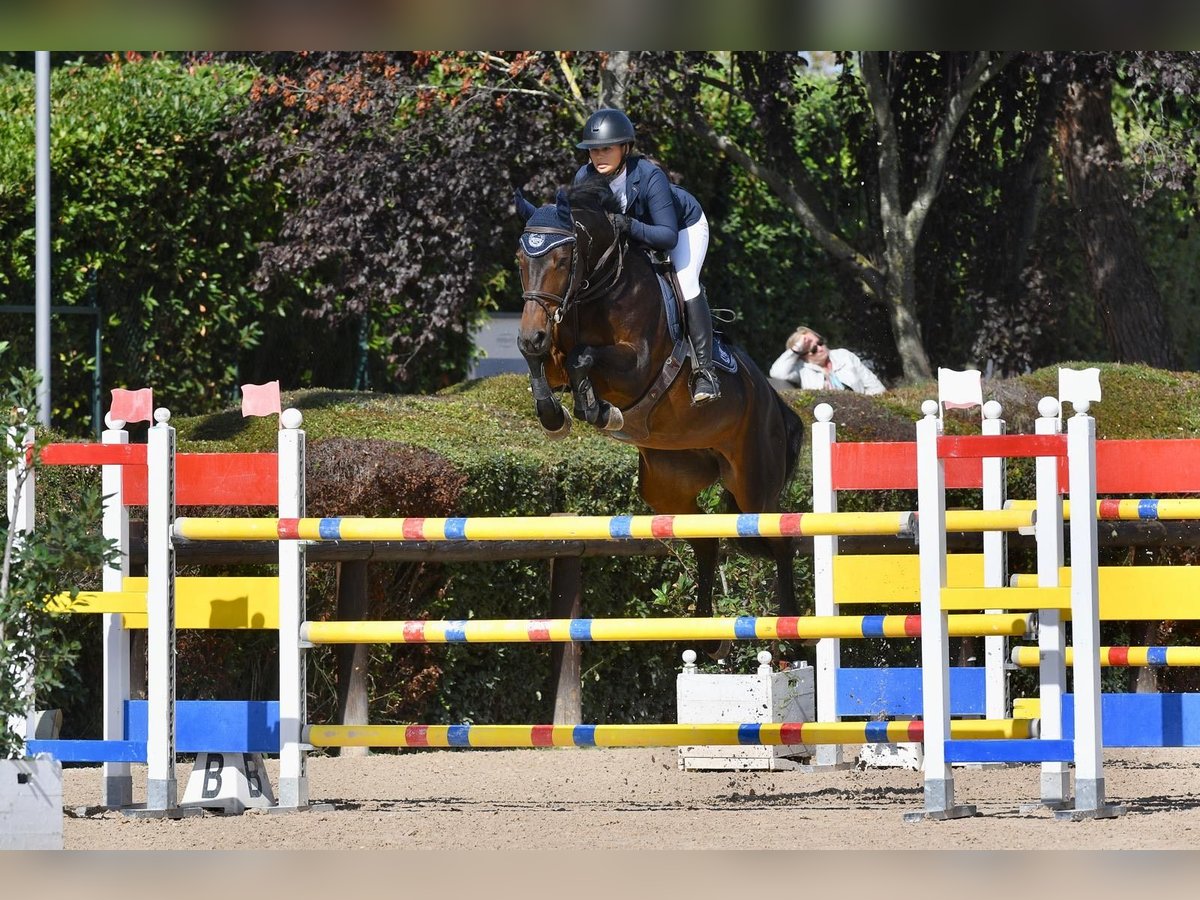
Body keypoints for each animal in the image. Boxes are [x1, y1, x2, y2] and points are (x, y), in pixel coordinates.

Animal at [516, 177, 806, 633]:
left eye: (562, 259)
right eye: (519, 259)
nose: (532, 333)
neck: (600, 287)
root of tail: (776, 405)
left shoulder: (635, 367)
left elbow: (583, 356)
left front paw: (599, 411)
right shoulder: (552, 352)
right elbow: (544, 362)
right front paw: (554, 417)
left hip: (754, 487)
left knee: (781, 542)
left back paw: (791, 629)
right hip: (668, 485)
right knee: (707, 544)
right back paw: (705, 632)